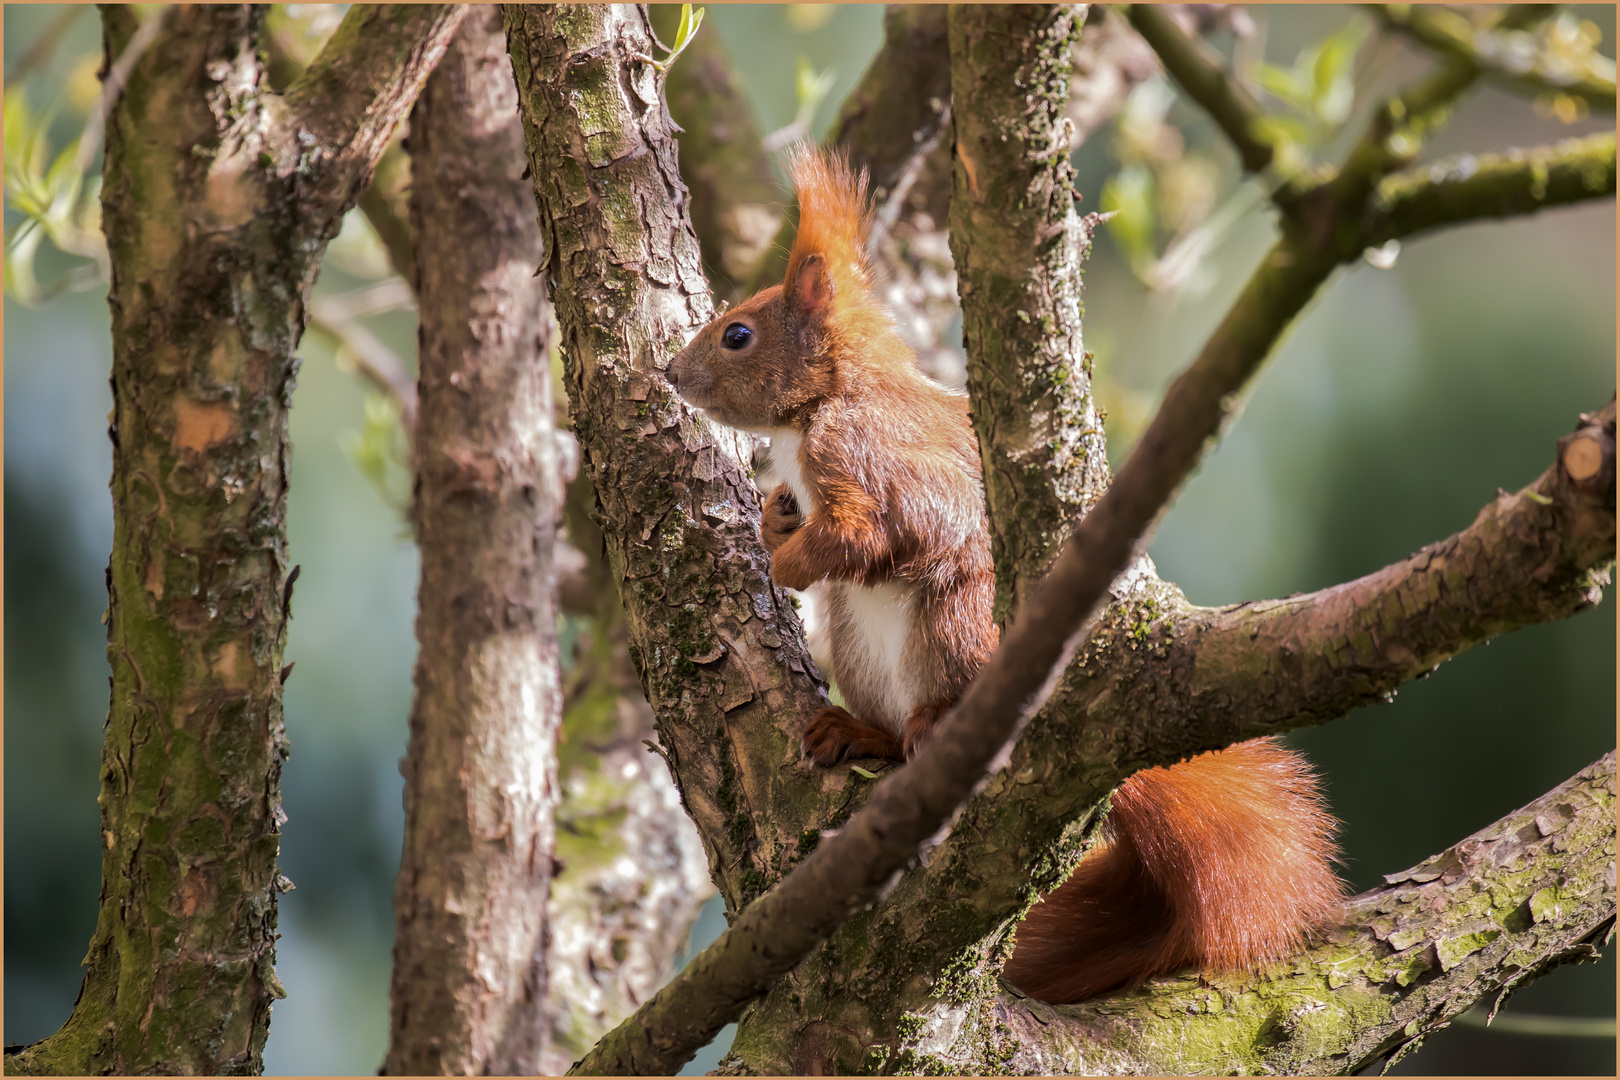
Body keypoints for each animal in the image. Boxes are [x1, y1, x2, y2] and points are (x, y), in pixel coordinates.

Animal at [660, 149, 1341, 1003]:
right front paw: (776, 520)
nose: (671, 372)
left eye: (738, 334)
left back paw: (937, 723)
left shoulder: (876, 458)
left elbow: (875, 533)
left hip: (959, 623)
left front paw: (787, 557)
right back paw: (862, 733)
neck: (827, 400)